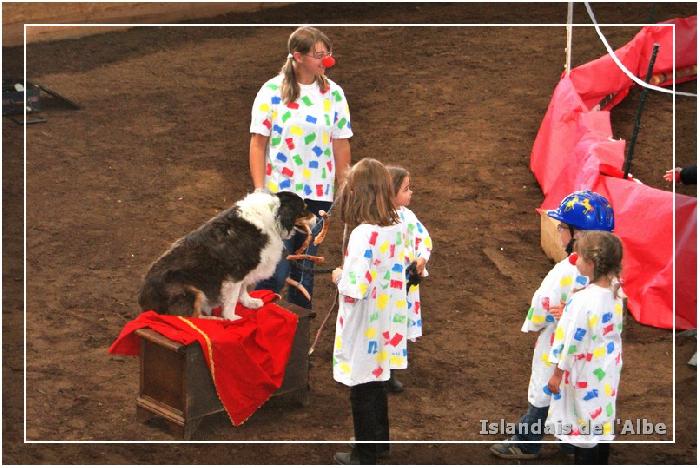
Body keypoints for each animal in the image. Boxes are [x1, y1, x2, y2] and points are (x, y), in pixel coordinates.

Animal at [138, 189, 314, 318]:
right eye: (304, 209)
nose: (316, 217)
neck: (273, 215)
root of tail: (144, 299)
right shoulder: (235, 273)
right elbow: (232, 300)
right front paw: (231, 318)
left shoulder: (244, 272)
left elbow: (243, 289)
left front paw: (249, 303)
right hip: (190, 290)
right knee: (189, 318)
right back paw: (215, 319)